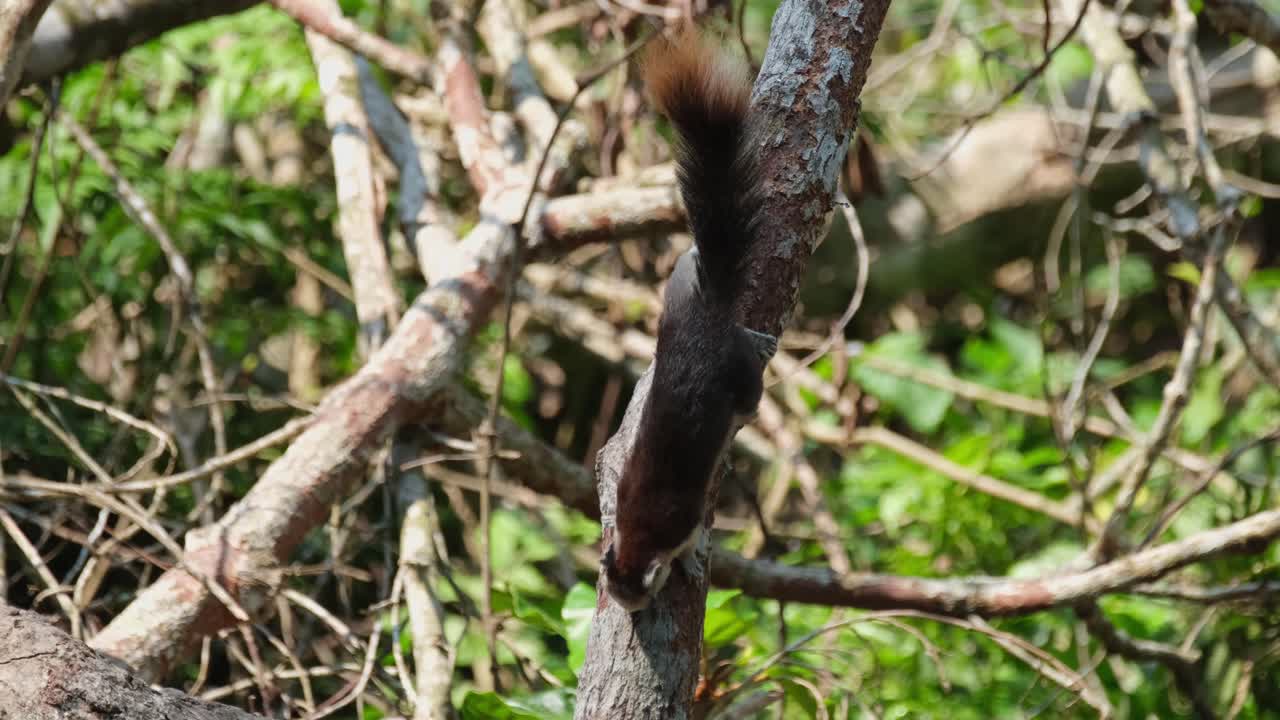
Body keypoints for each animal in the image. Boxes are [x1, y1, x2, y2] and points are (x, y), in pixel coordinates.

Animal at [602, 28, 777, 613]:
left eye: (640, 594)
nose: (631, 610)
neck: (639, 531)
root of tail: (705, 317)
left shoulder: (681, 515)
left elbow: (695, 532)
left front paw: (693, 558)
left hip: (740, 379)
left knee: (749, 388)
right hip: (675, 300)